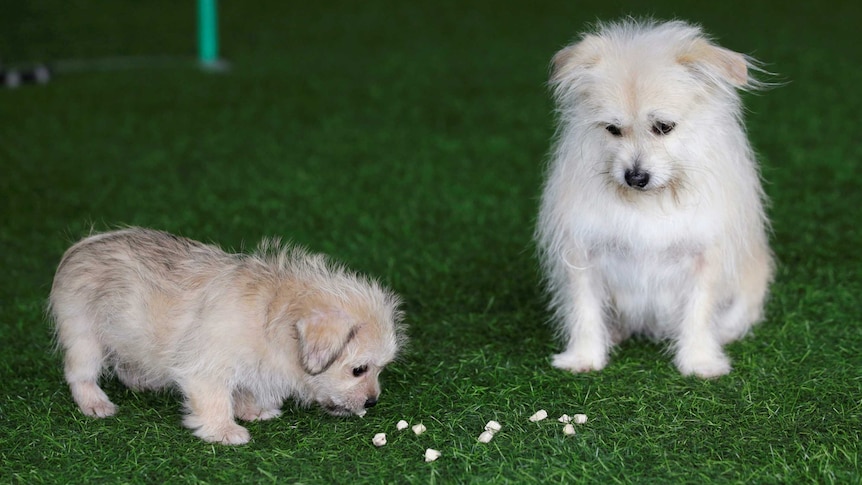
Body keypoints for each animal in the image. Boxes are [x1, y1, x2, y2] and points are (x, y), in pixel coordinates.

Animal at [50, 227, 408, 442]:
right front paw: (224, 430)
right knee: (79, 375)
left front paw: (253, 410)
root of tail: (79, 248)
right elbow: (215, 401)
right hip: (84, 337)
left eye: (379, 369)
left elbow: (246, 388)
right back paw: (95, 403)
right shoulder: (206, 371)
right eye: (358, 369)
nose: (373, 401)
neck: (273, 313)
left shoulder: (252, 366)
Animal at [540, 19, 776, 378]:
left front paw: (699, 362)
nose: (635, 177)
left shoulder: (705, 259)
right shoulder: (583, 254)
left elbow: (698, 312)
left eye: (664, 127)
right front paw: (584, 358)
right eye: (612, 129)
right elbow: (585, 312)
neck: (651, 202)